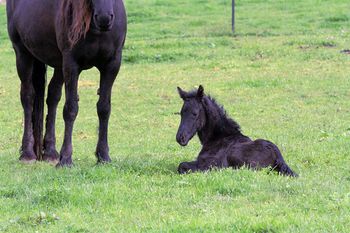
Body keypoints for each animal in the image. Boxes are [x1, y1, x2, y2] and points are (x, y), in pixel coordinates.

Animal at [6, 0, 126, 167]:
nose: (104, 18)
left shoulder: (112, 65)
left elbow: (104, 108)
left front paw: (103, 156)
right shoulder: (71, 65)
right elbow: (70, 109)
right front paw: (66, 159)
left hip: (58, 65)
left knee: (53, 96)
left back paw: (50, 153)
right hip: (23, 54)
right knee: (28, 97)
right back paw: (27, 153)